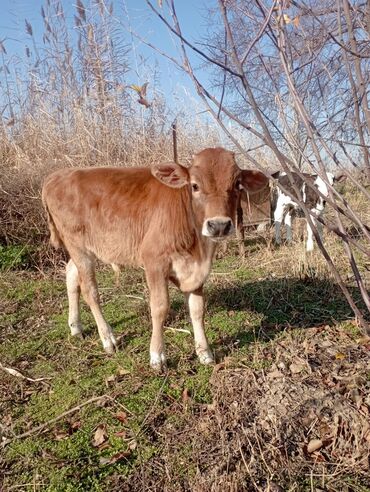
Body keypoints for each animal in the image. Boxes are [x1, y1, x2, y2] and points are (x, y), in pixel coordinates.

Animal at [42, 148, 268, 370]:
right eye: (194, 185)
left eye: (237, 184)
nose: (219, 225)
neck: (198, 248)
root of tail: (56, 175)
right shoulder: (154, 261)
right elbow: (159, 307)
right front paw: (157, 356)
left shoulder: (196, 270)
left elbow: (197, 309)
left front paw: (205, 352)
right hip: (78, 247)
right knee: (90, 291)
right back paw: (108, 338)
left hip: (81, 249)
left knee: (71, 275)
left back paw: (76, 327)